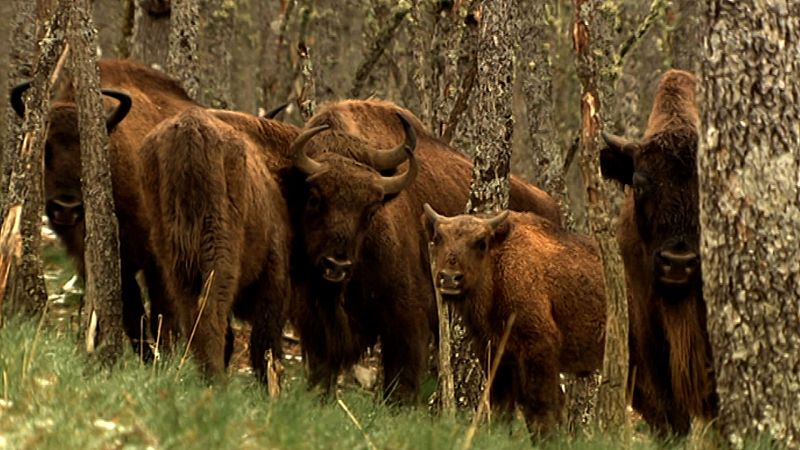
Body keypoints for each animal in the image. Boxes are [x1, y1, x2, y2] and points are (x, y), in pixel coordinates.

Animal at [10, 58, 199, 350]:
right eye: (45, 148)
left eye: (87, 150)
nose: (66, 207)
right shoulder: (95, 259)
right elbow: (131, 314)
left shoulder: (156, 258)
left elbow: (161, 311)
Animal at [139, 108, 292, 380]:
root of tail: (190, 129)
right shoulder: (276, 274)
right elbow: (265, 341)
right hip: (219, 251)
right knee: (211, 311)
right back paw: (217, 381)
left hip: (175, 258)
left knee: (191, 313)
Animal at [422, 206, 604, 438]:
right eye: (438, 238)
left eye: (481, 242)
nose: (449, 278)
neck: (499, 262)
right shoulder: (495, 355)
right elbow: (504, 406)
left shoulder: (539, 350)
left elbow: (540, 406)